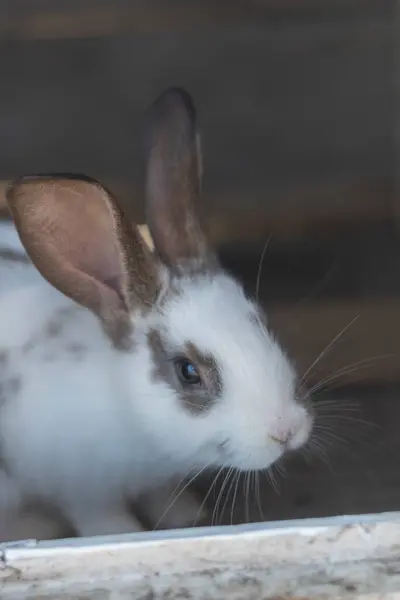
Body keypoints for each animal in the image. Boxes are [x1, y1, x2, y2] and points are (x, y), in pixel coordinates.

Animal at [0, 88, 314, 540]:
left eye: (259, 318)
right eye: (187, 372)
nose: (287, 430)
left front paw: (184, 515)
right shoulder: (79, 488)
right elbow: (99, 516)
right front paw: (121, 532)